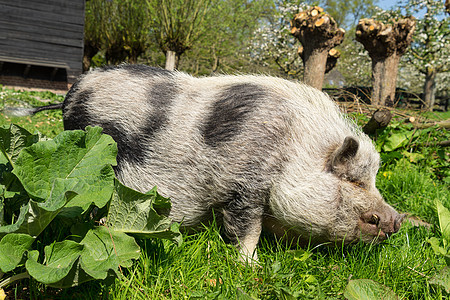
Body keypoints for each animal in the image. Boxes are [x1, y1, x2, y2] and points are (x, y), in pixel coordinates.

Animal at [20, 65, 404, 260]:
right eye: (353, 180)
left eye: (371, 180)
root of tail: (69, 96)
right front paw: (250, 266)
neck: (293, 150)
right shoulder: (245, 185)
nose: (395, 220)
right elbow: (246, 230)